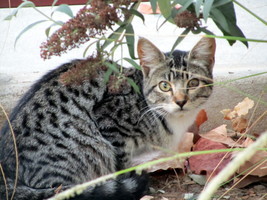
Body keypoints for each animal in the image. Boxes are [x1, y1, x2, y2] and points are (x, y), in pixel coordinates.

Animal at [0, 36, 217, 199]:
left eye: (193, 83)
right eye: (165, 86)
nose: (181, 101)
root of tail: (7, 175)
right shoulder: (111, 124)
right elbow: (121, 163)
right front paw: (128, 180)